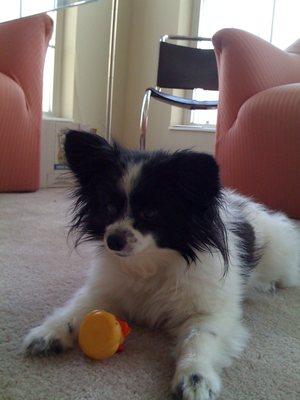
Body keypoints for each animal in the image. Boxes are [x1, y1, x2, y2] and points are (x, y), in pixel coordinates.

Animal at [24, 130, 300, 398]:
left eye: (150, 213)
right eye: (109, 207)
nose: (113, 240)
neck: (151, 263)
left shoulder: (210, 312)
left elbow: (200, 340)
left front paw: (195, 377)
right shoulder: (104, 292)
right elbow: (76, 310)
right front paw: (49, 333)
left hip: (280, 258)